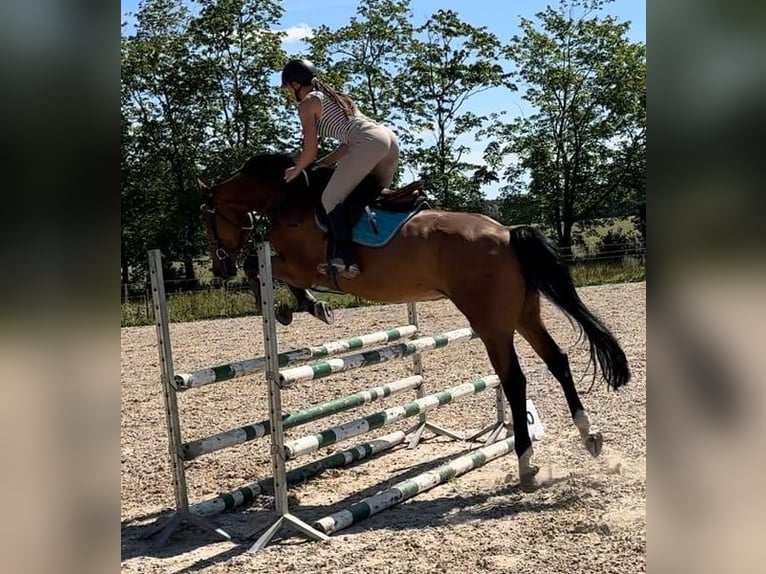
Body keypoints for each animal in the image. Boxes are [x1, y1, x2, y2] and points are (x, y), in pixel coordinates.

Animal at [198, 152, 630, 491]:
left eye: (208, 220)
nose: (220, 268)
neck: (290, 198)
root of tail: (507, 233)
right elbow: (261, 268)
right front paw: (298, 307)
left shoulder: (300, 266)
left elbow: (259, 267)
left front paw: (298, 308)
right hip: (524, 315)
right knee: (557, 361)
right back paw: (590, 436)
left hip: (491, 325)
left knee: (514, 380)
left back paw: (525, 464)